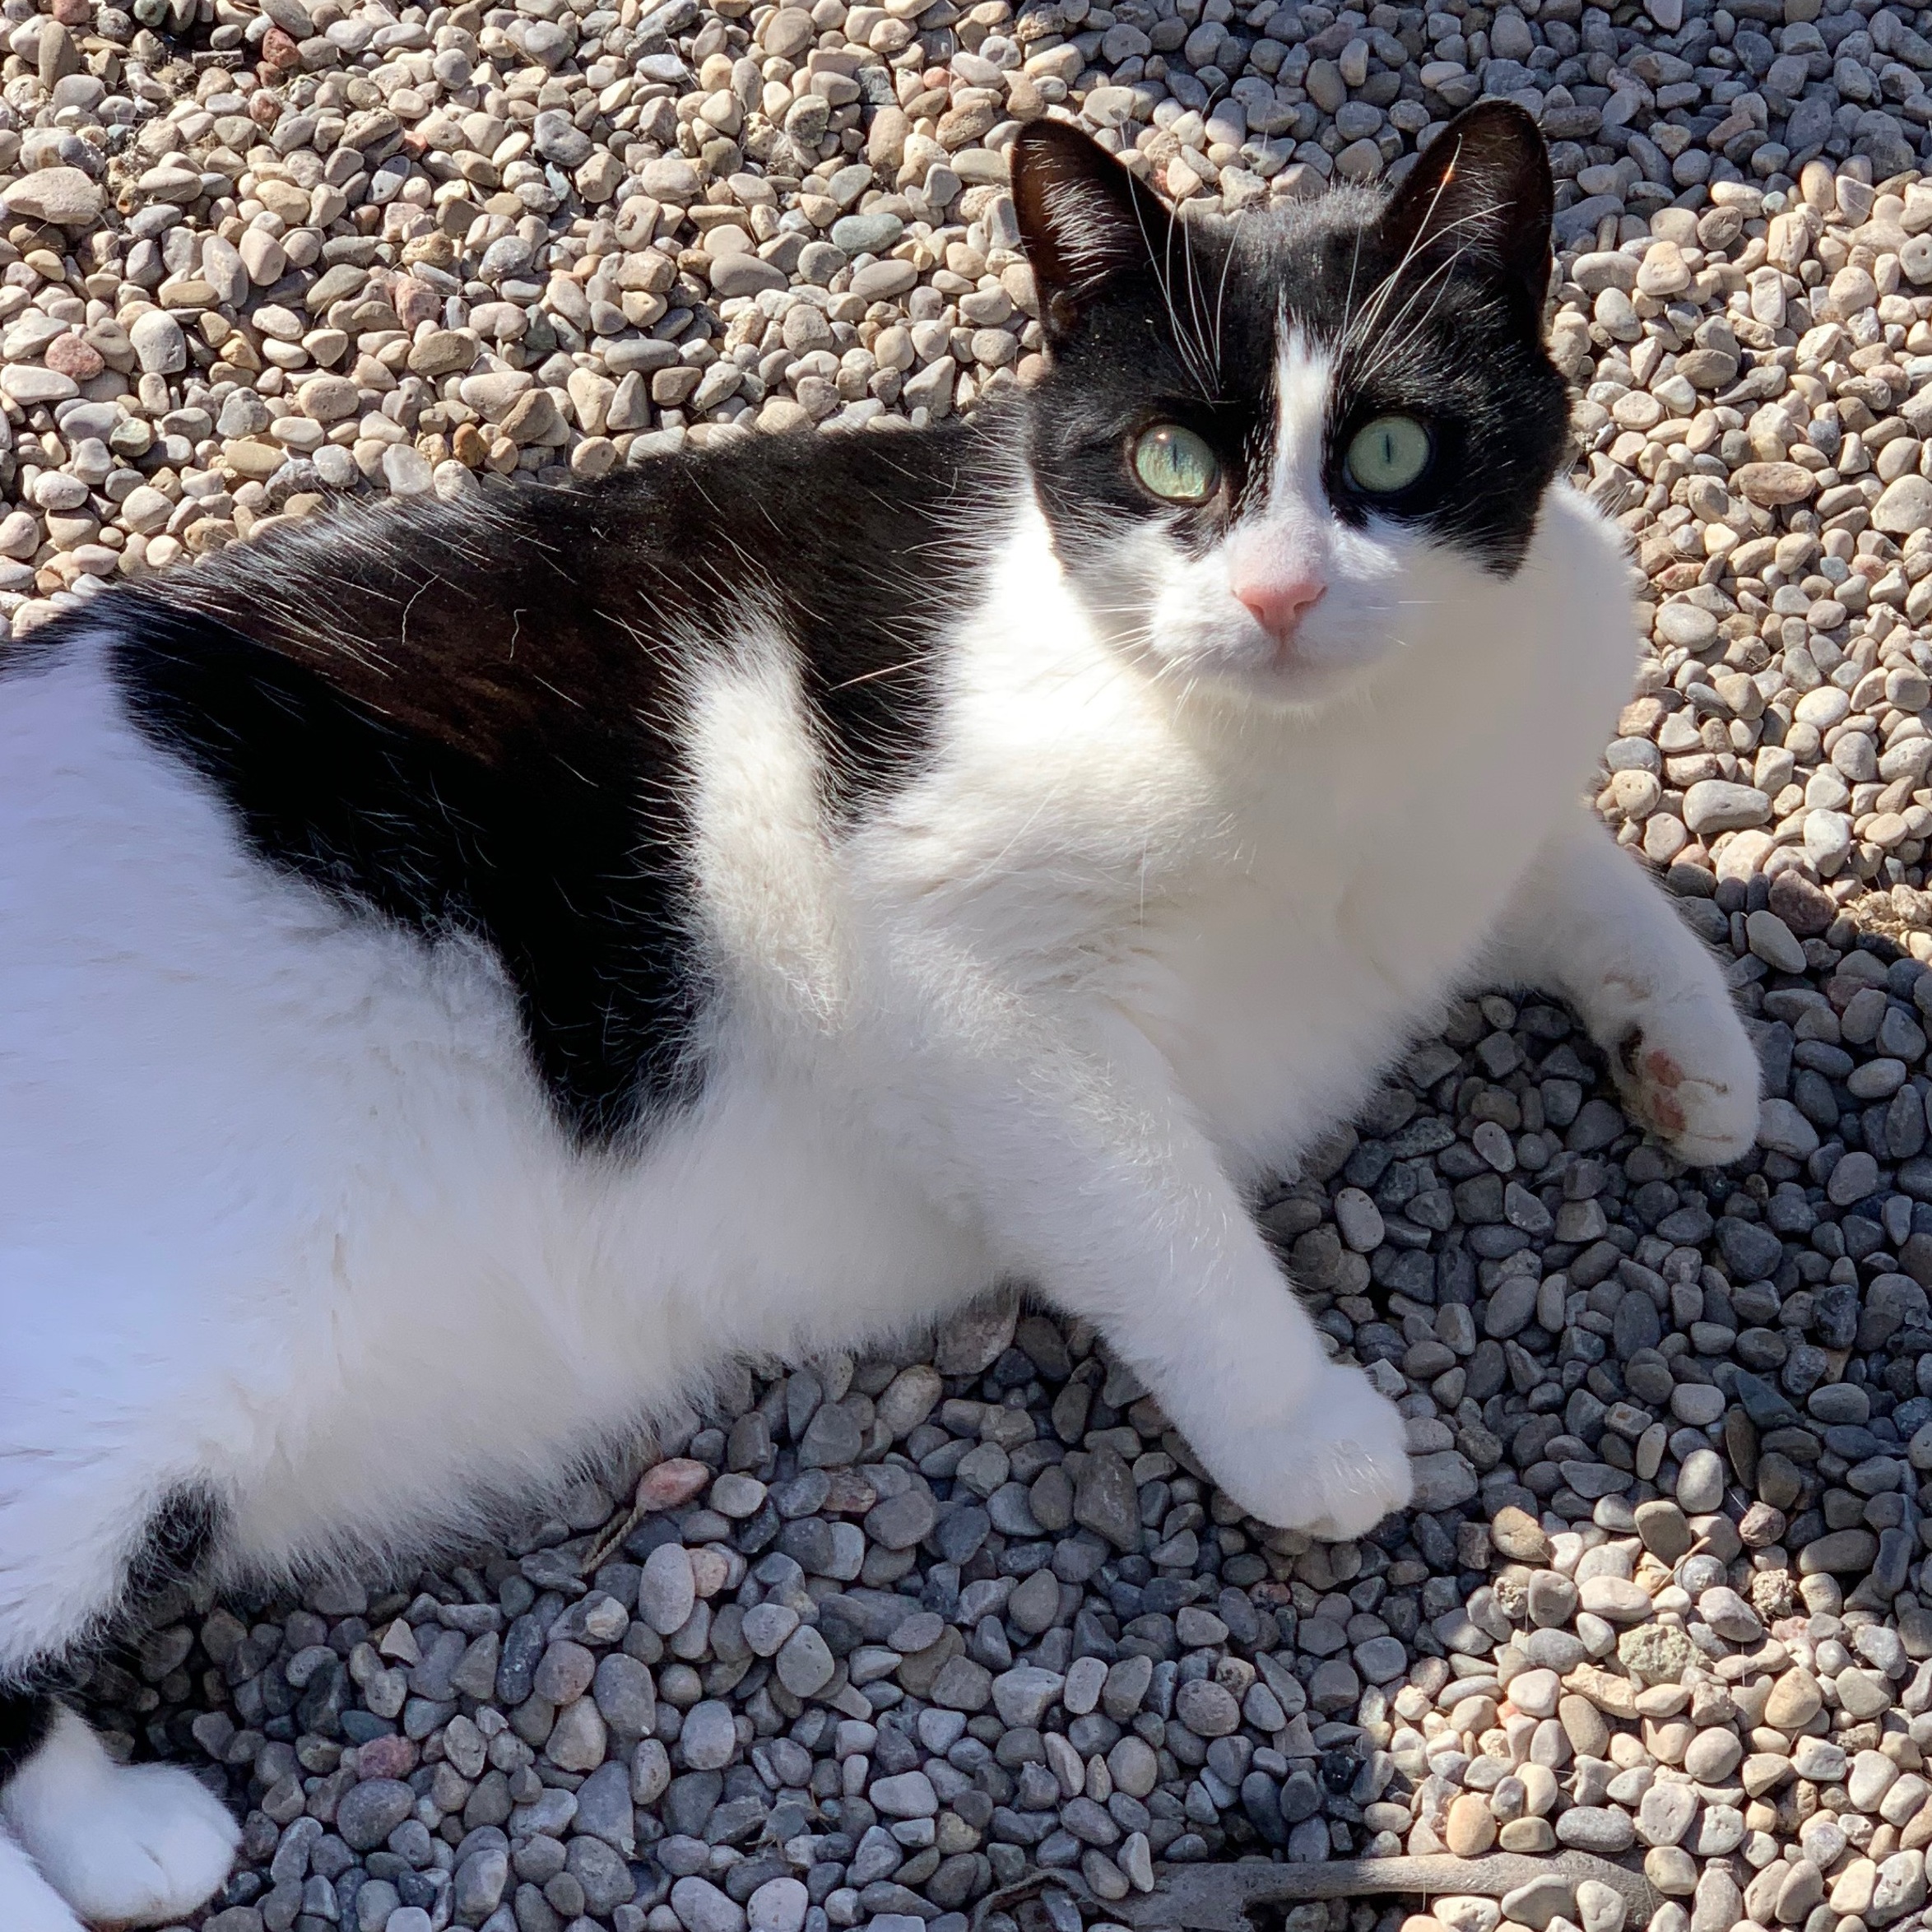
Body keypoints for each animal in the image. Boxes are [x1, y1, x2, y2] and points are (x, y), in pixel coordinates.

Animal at [0, 109, 1769, 1932]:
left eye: (1398, 451)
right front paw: (1301, 1427)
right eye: (1169, 467)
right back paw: (122, 1833)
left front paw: (1688, 1045)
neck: (1325, 768)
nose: (1279, 594)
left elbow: (1566, 863)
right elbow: (1160, 1210)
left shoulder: (1476, 788)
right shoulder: (958, 979)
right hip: (135, 1350)